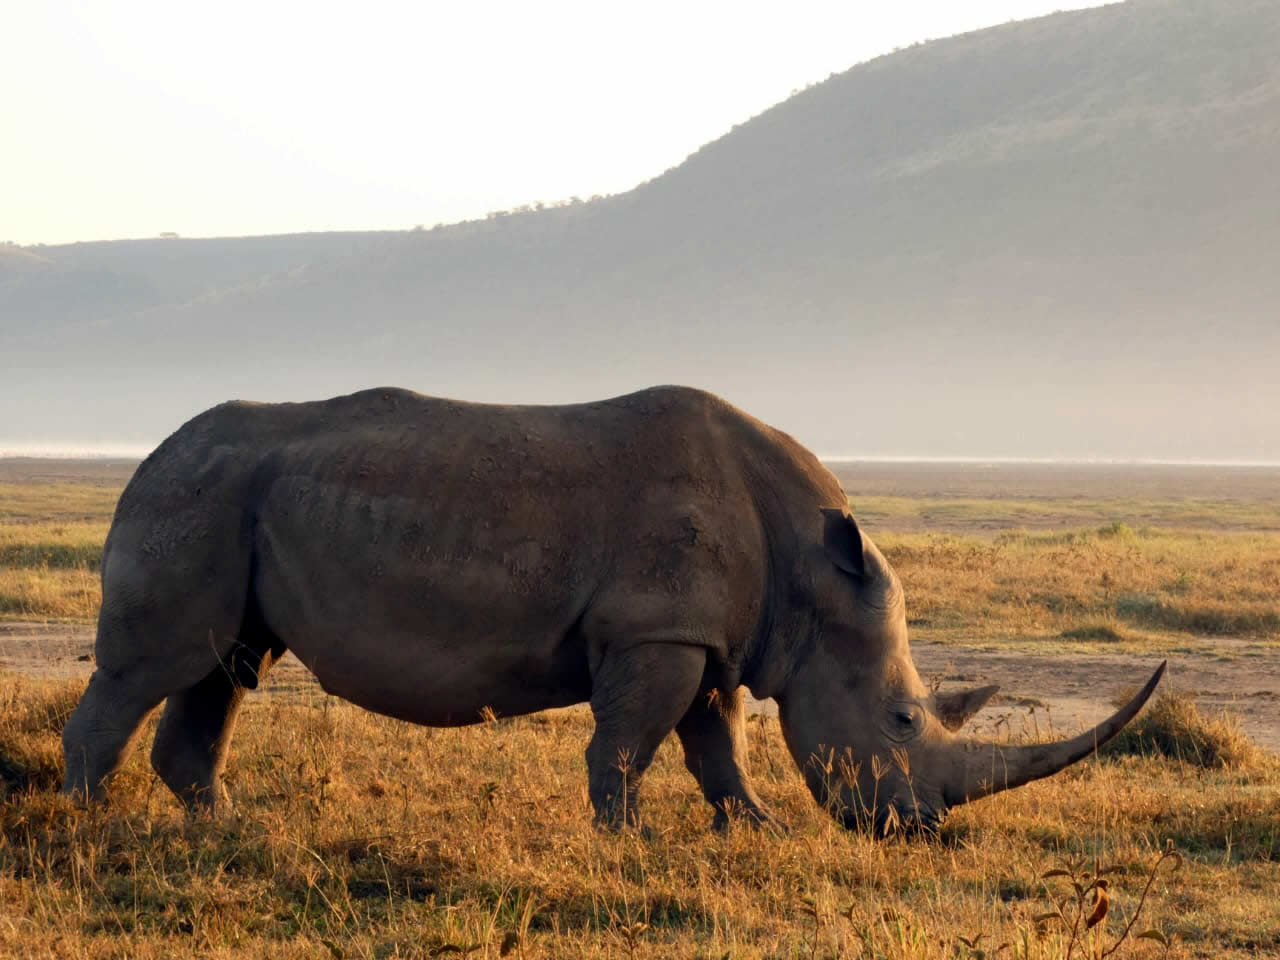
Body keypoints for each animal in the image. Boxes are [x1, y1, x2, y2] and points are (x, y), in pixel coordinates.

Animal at [62, 385, 1163, 833]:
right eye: (900, 719)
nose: (918, 830)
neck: (813, 577)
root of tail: (148, 456)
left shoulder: (714, 637)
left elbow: (718, 745)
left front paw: (754, 828)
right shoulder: (656, 629)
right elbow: (633, 740)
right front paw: (626, 836)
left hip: (231, 501)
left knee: (225, 666)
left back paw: (223, 824)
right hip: (191, 499)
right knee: (157, 667)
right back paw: (89, 819)